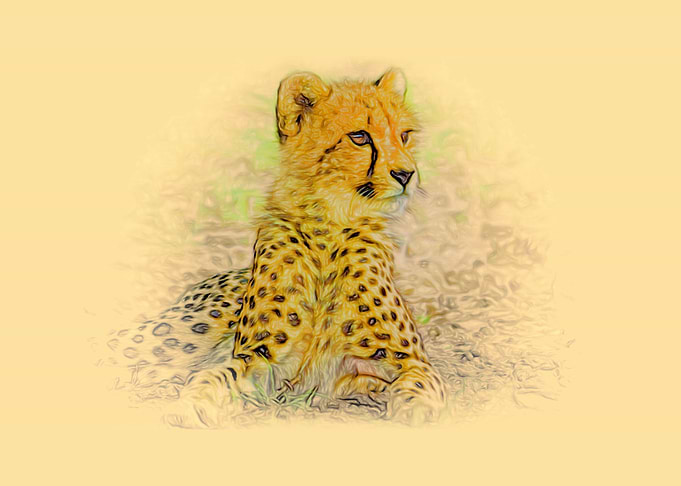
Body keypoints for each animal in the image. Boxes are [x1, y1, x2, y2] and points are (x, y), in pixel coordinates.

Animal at [105, 68, 448, 426]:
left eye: (405, 135)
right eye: (359, 137)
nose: (406, 174)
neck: (330, 225)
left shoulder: (406, 359)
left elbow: (420, 384)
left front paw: (414, 410)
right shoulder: (262, 358)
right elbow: (216, 375)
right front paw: (192, 403)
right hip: (172, 337)